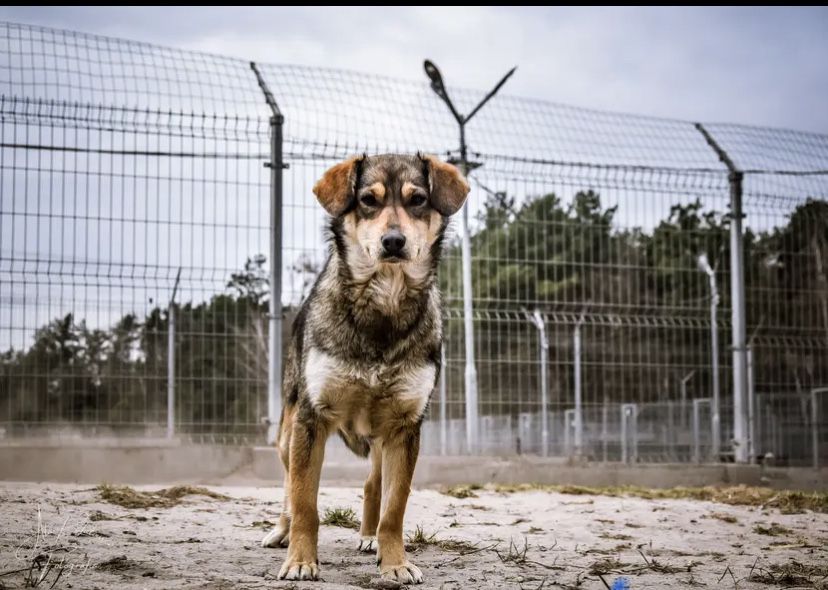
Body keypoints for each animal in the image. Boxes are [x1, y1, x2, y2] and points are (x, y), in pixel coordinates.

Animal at [260, 151, 466, 584]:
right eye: (368, 200)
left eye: (418, 200)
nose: (394, 242)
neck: (384, 302)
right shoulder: (311, 421)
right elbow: (305, 502)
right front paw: (301, 561)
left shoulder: (405, 428)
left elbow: (395, 508)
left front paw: (395, 562)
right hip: (287, 433)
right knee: (287, 486)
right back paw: (281, 532)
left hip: (380, 438)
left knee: (374, 484)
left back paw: (369, 538)